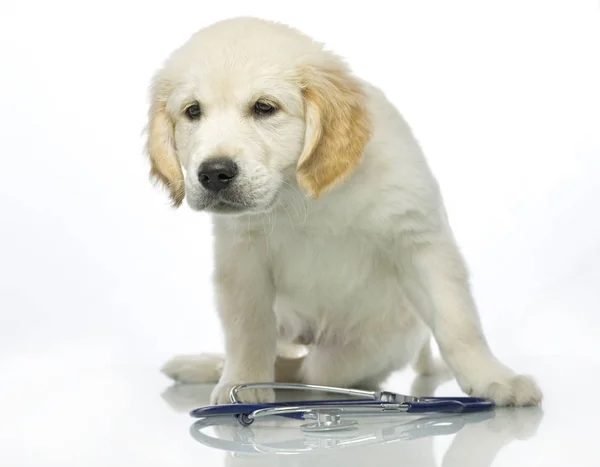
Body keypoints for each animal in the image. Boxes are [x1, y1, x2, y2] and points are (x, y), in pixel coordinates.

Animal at [146, 16, 544, 408]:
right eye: (193, 111)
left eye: (264, 107)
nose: (214, 173)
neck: (301, 196)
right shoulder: (242, 259)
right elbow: (247, 330)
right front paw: (241, 381)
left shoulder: (419, 240)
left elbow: (458, 323)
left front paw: (493, 378)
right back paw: (206, 366)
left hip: (352, 354)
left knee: (307, 370)